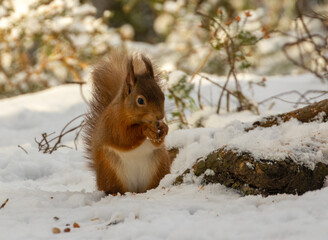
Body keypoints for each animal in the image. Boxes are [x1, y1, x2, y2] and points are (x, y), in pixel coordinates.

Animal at [83, 51, 172, 195]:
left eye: (162, 95)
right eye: (140, 100)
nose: (160, 116)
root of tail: (136, 189)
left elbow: (157, 142)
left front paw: (164, 128)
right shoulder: (112, 123)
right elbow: (124, 138)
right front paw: (145, 129)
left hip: (159, 166)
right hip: (110, 170)